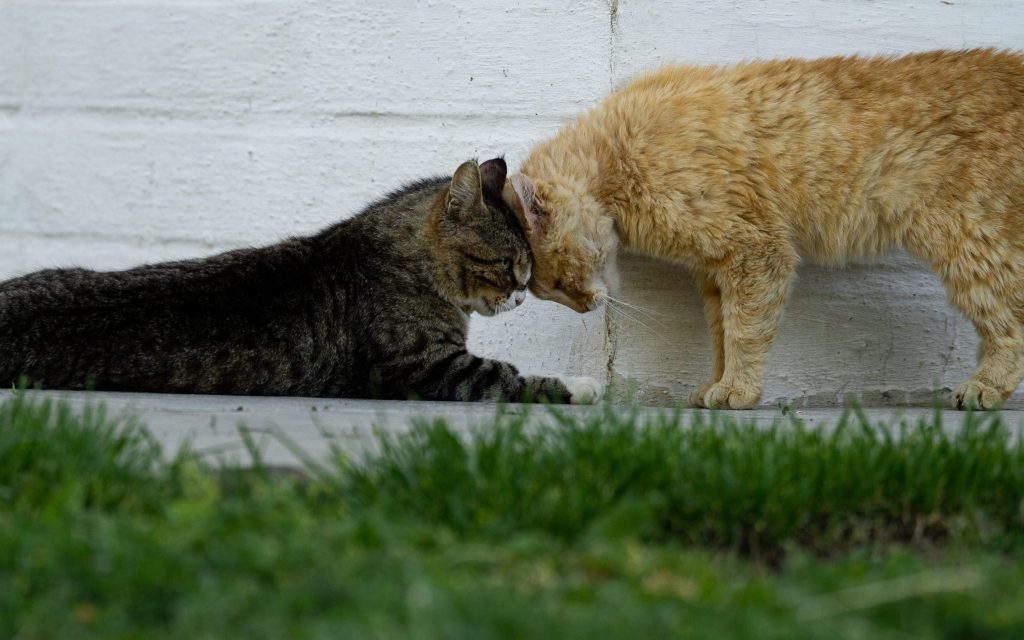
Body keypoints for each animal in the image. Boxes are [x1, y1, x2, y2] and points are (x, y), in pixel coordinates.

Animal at [509, 49, 1024, 409]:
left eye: (557, 283)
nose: (585, 308)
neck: (617, 157)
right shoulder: (715, 272)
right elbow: (721, 333)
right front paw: (716, 383)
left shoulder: (756, 252)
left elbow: (745, 331)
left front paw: (738, 389)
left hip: (966, 242)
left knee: (1010, 321)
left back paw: (984, 387)